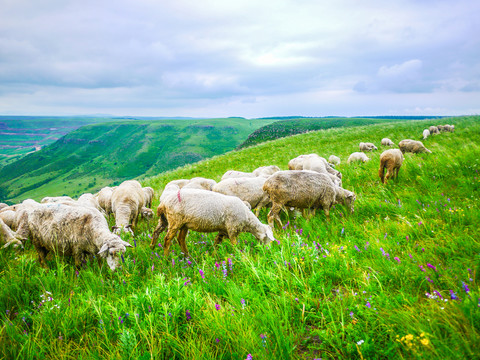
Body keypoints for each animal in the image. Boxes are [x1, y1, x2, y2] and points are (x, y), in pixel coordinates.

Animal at [148, 188, 276, 256]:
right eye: (268, 239)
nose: (269, 251)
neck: (247, 220)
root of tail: (163, 203)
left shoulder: (223, 230)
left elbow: (216, 243)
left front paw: (214, 255)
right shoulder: (232, 229)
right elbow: (234, 244)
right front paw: (240, 256)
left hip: (174, 221)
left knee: (171, 236)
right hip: (175, 220)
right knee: (167, 239)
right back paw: (166, 258)